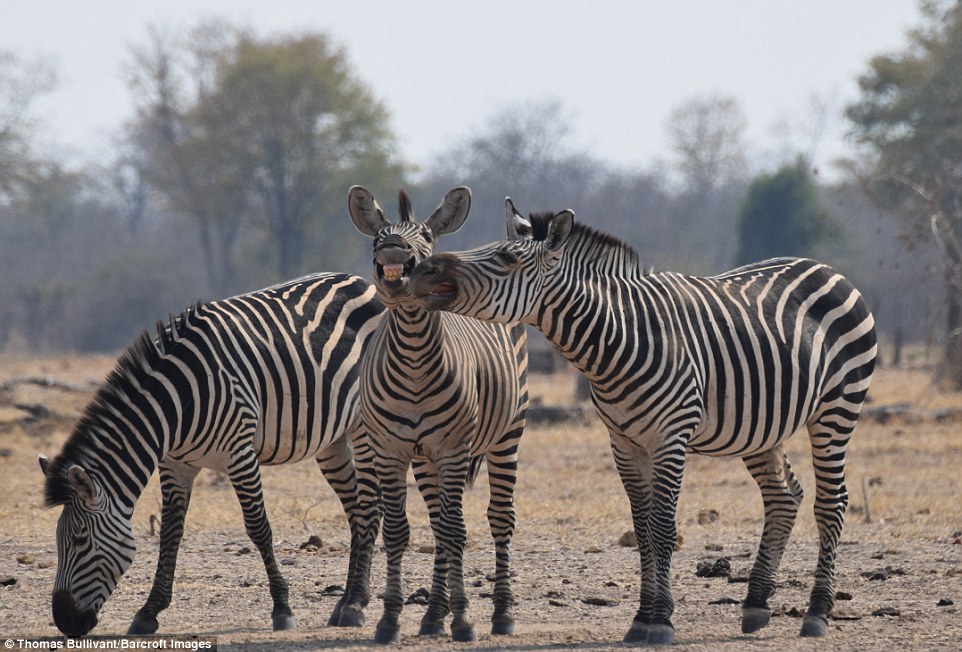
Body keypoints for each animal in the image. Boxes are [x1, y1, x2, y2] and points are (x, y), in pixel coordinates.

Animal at [37, 272, 384, 640]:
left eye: (80, 540)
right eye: (59, 540)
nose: (64, 621)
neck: (176, 405)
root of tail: (360, 281)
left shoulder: (239, 454)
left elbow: (258, 528)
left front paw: (282, 608)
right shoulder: (175, 465)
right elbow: (170, 534)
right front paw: (149, 612)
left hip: (363, 425)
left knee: (368, 509)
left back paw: (355, 605)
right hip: (333, 439)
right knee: (356, 511)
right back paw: (344, 603)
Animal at [346, 186, 528, 644]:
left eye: (425, 235)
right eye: (379, 236)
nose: (393, 249)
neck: (412, 358)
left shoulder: (454, 448)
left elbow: (456, 531)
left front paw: (463, 619)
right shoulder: (389, 450)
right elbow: (400, 531)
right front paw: (390, 619)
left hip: (507, 435)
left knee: (499, 519)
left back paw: (501, 613)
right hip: (425, 458)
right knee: (436, 521)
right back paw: (432, 616)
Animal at [406, 201, 876, 644]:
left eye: (505, 258)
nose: (421, 269)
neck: (619, 341)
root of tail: (825, 268)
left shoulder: (670, 437)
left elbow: (664, 528)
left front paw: (662, 621)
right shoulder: (624, 442)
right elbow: (642, 528)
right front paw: (640, 619)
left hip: (838, 408)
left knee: (831, 502)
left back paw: (816, 613)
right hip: (762, 427)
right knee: (783, 497)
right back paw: (756, 604)